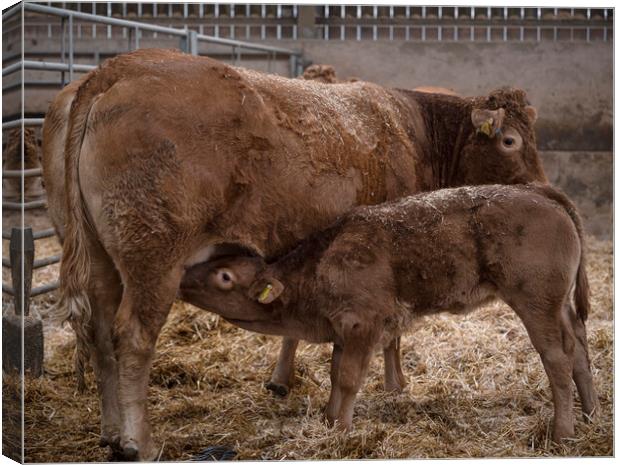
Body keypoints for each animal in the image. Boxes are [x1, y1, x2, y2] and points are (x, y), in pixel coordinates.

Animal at [43, 49, 544, 458]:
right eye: (510, 141)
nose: (540, 188)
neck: (416, 132)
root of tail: (120, 67)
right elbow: (392, 333)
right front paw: (395, 385)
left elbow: (297, 326)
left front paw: (286, 381)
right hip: (155, 256)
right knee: (133, 336)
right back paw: (138, 443)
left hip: (99, 258)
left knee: (101, 333)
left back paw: (111, 432)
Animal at [179, 182, 596, 442]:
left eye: (224, 276)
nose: (182, 277)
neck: (322, 263)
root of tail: (538, 190)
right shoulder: (343, 328)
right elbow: (335, 372)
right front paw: (329, 419)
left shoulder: (362, 323)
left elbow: (349, 377)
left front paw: (342, 430)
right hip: (559, 305)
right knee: (578, 347)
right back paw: (590, 414)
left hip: (535, 301)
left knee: (557, 357)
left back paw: (562, 432)